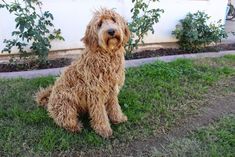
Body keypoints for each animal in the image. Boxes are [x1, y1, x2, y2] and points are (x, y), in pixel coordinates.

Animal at [35, 8, 130, 137]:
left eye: (114, 20)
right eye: (99, 24)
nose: (111, 31)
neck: (106, 54)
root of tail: (49, 101)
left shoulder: (112, 89)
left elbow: (114, 105)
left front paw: (118, 118)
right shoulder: (95, 92)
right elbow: (99, 113)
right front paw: (103, 129)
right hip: (66, 103)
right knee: (64, 119)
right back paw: (75, 127)